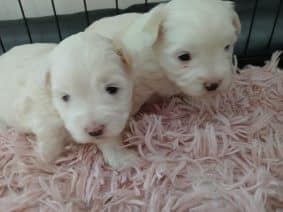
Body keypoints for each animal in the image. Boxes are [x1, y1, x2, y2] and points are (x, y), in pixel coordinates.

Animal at [0, 31, 139, 170]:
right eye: (65, 97)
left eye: (112, 89)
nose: (94, 130)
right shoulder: (44, 117)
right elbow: (50, 141)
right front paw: (43, 163)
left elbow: (109, 139)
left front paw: (124, 158)